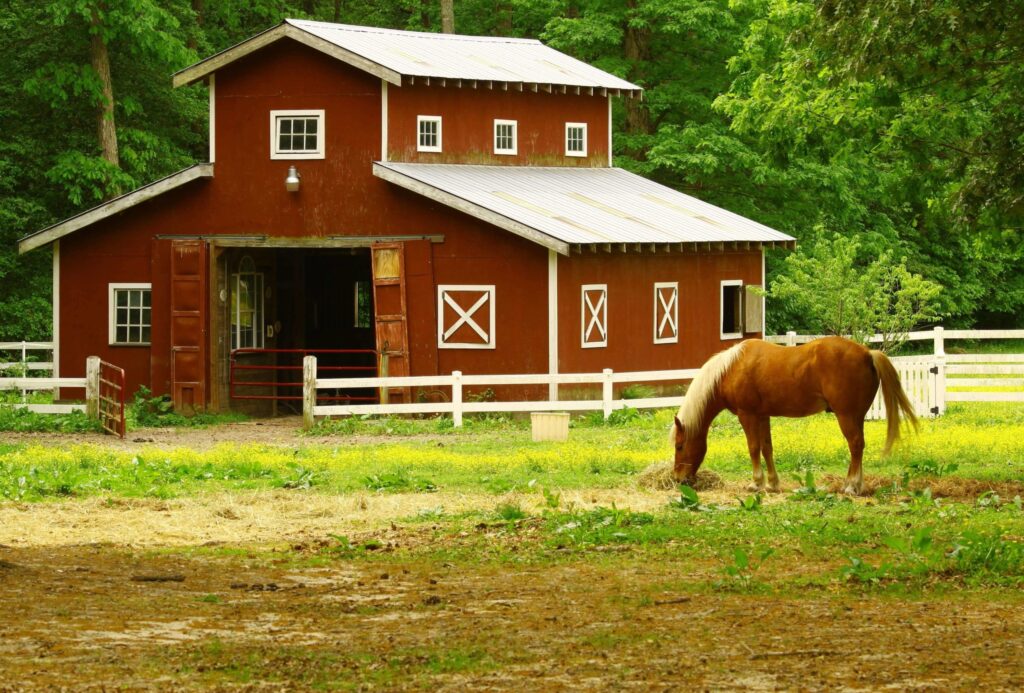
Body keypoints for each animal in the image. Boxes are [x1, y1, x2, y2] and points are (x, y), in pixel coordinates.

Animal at [671, 335, 921, 495]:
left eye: (679, 446)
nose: (678, 478)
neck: (730, 369)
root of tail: (868, 353)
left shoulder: (747, 415)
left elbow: (753, 448)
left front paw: (756, 483)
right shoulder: (762, 416)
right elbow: (767, 448)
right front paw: (772, 484)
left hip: (846, 416)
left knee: (856, 445)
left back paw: (850, 486)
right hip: (856, 417)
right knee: (858, 446)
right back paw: (856, 485)